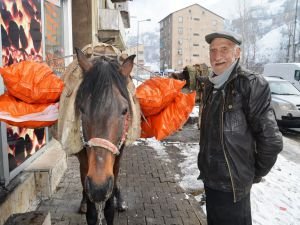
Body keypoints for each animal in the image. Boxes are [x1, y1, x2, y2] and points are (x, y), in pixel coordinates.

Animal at [74, 48, 135, 225]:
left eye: (124, 110)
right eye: (82, 109)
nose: (98, 187)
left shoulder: (116, 160)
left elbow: (109, 208)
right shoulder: (86, 165)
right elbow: (92, 213)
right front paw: (88, 205)